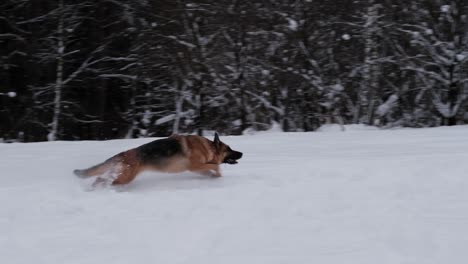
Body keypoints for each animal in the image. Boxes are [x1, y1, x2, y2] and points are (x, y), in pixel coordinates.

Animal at [74, 133, 241, 187]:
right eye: (229, 149)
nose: (242, 153)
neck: (208, 147)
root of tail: (124, 154)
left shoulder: (199, 168)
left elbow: (212, 169)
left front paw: (215, 177)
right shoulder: (195, 166)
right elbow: (216, 166)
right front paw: (218, 176)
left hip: (120, 175)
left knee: (100, 178)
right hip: (125, 178)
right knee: (102, 180)